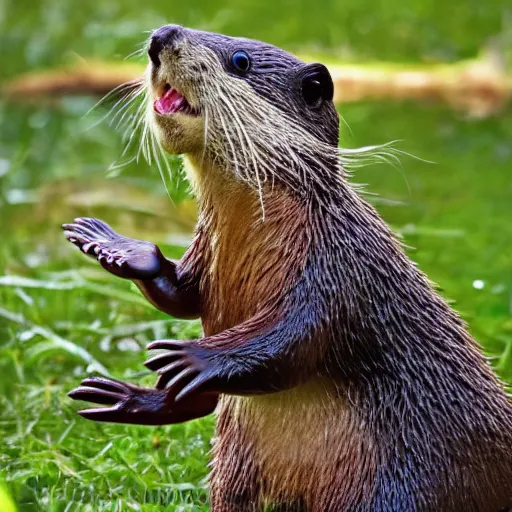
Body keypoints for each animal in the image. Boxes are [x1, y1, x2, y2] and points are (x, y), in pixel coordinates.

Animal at [65, 25, 512, 512]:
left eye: (240, 60)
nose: (162, 35)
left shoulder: (336, 269)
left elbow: (293, 341)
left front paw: (195, 357)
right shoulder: (206, 252)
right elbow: (182, 295)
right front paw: (119, 248)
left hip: (398, 487)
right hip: (234, 466)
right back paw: (131, 399)